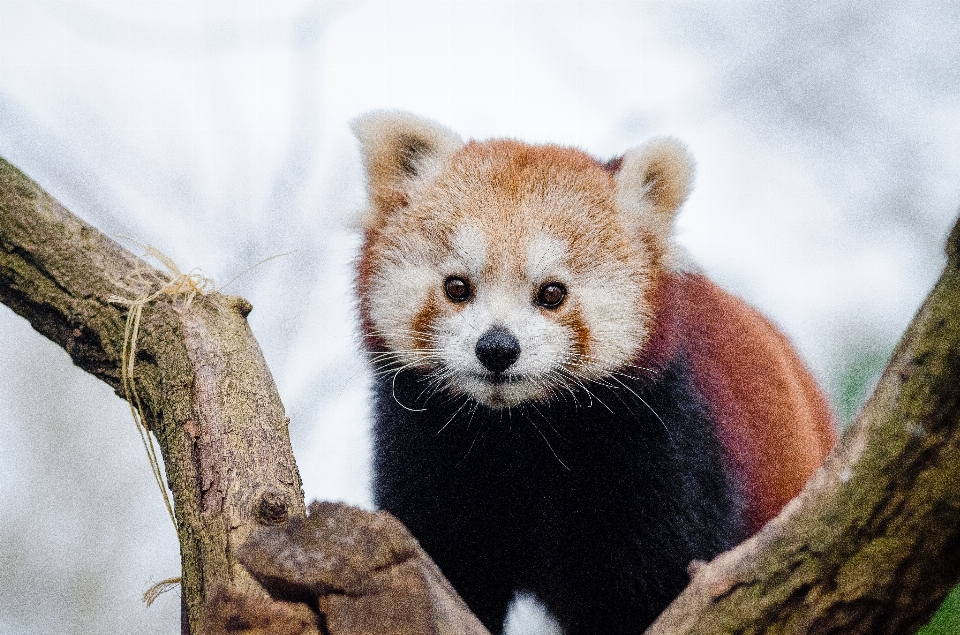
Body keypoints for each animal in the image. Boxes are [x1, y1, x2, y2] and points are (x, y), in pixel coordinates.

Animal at [350, 112, 832, 632]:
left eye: (552, 293)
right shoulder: (426, 449)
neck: (518, 432)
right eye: (457, 287)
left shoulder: (665, 448)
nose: (497, 348)